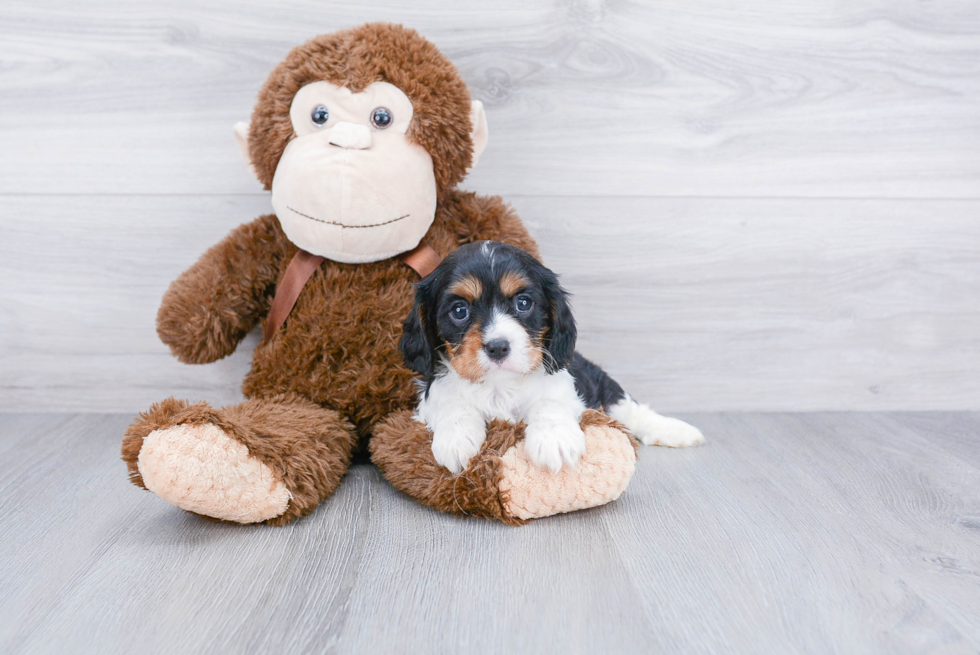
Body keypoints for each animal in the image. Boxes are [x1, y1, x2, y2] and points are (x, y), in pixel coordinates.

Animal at [398, 238, 704, 474]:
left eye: (523, 303)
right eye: (459, 311)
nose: (498, 346)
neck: (500, 385)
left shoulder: (565, 386)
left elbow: (550, 403)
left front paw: (554, 440)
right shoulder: (430, 398)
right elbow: (453, 404)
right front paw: (457, 439)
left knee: (632, 410)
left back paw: (677, 431)